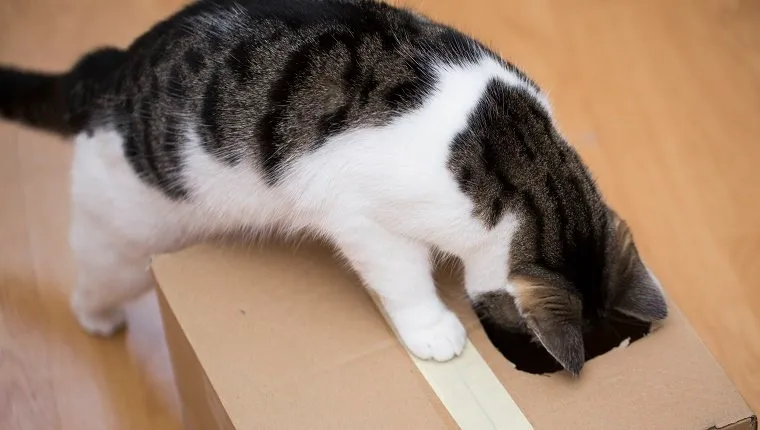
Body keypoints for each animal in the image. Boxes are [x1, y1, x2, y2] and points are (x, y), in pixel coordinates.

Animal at [0, 0, 664, 374]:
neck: (523, 161)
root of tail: (104, 70)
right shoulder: (358, 214)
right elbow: (403, 276)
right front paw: (434, 329)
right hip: (126, 237)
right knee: (93, 278)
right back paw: (98, 321)